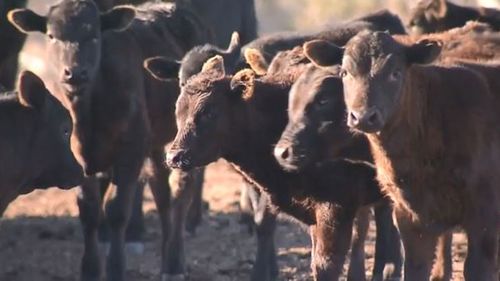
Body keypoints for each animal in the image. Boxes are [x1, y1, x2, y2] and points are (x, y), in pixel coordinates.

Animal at [304, 29, 500, 278]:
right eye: (345, 72)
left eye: (395, 73)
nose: (363, 116)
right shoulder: (408, 217)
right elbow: (415, 268)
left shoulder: (484, 215)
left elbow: (477, 269)